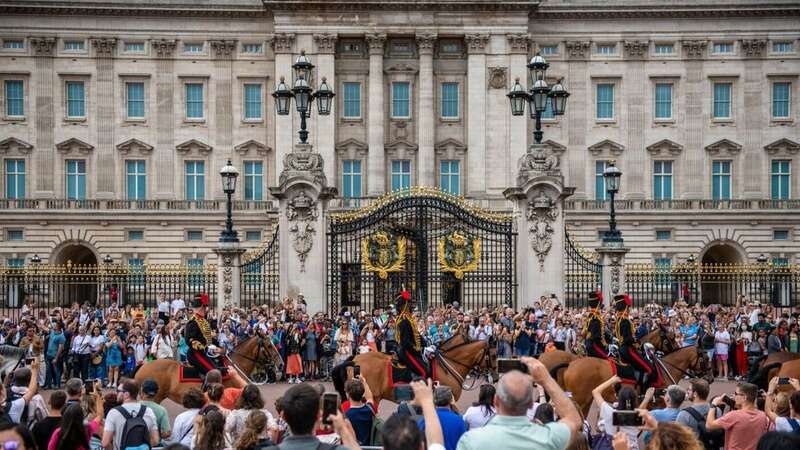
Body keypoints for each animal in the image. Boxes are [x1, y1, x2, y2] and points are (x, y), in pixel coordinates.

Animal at [564, 344, 712, 418]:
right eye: (705, 359)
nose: (710, 378)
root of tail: (571, 364)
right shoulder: (659, 405)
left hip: (586, 400)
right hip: (580, 399)